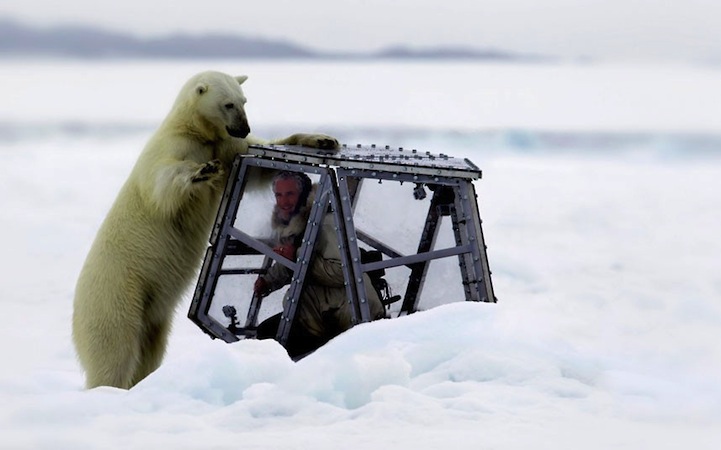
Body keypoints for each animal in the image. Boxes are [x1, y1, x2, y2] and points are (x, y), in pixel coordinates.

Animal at [72, 70, 339, 389]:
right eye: (228, 104)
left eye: (244, 100)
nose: (243, 128)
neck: (195, 130)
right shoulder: (173, 149)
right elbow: (163, 185)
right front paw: (202, 171)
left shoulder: (226, 147)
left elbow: (259, 166)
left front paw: (322, 139)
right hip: (117, 293)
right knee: (115, 350)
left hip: (152, 314)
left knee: (151, 347)